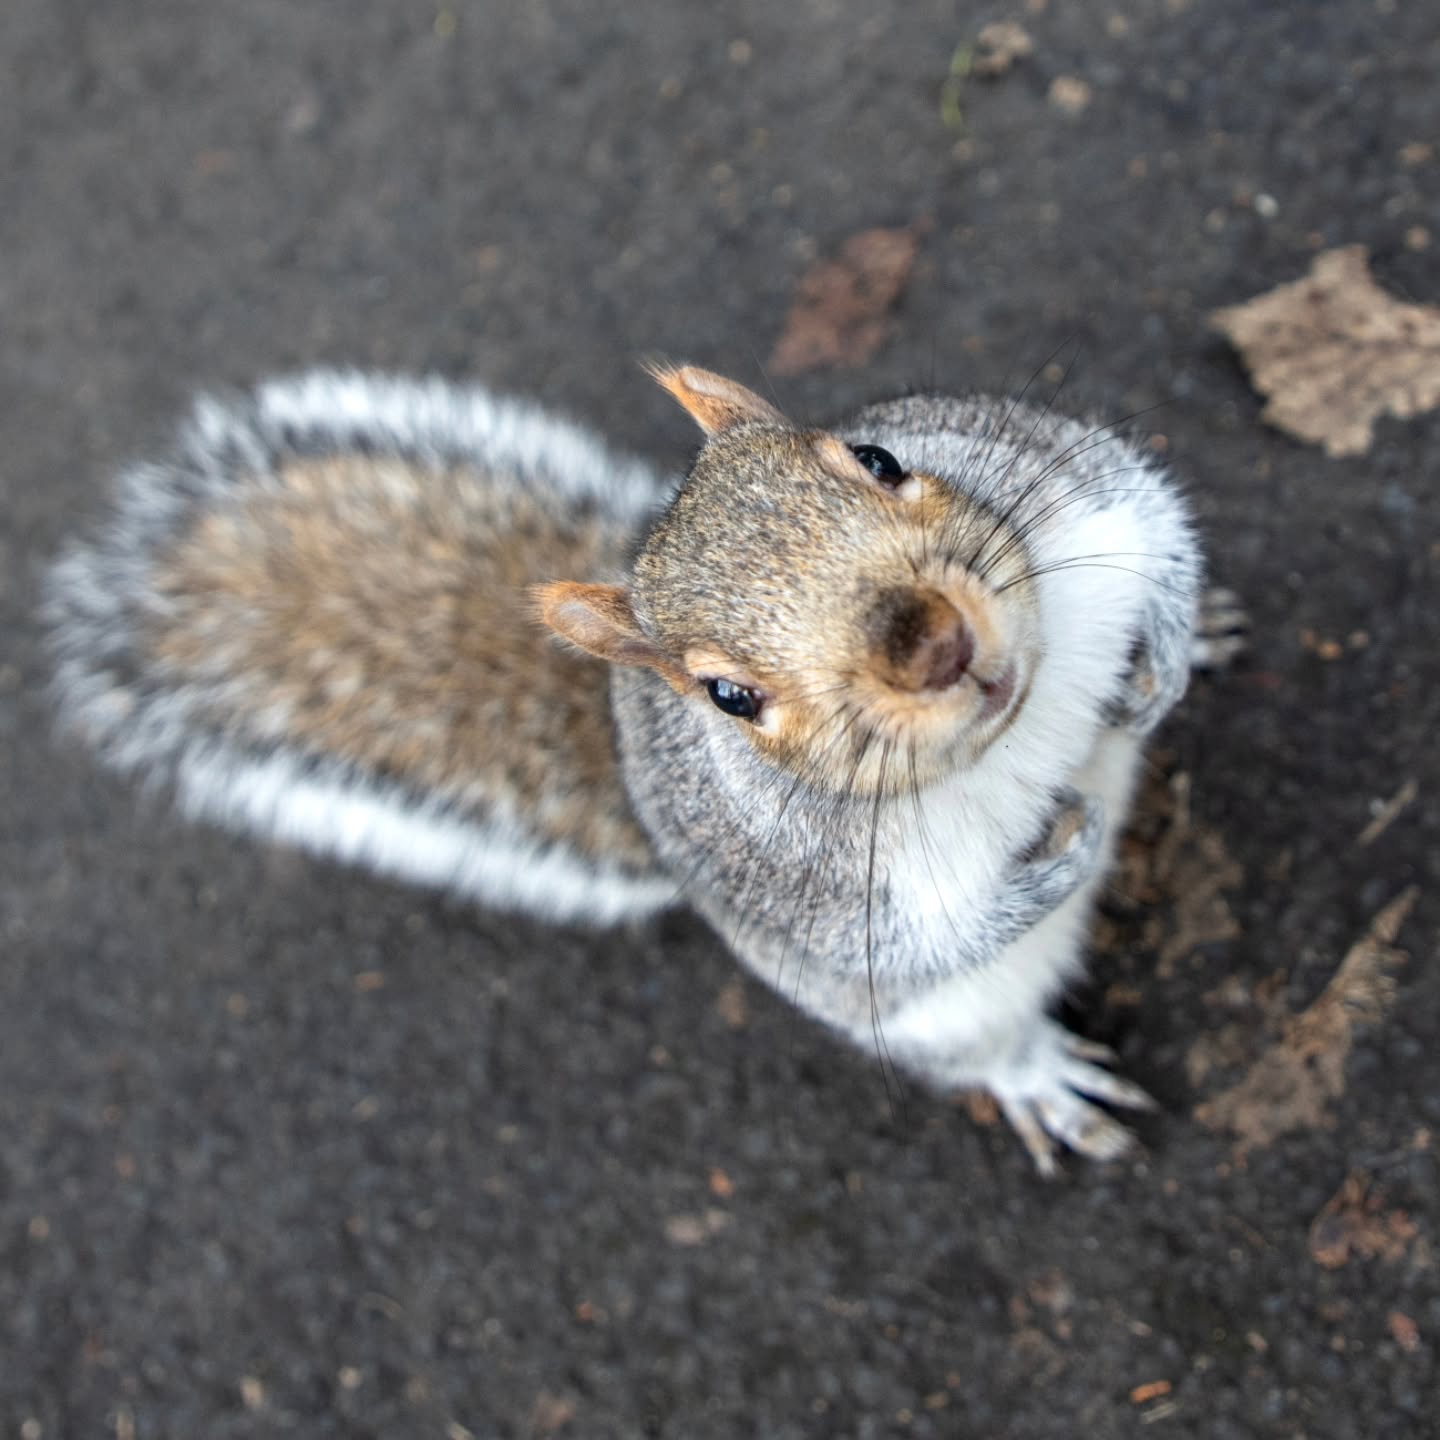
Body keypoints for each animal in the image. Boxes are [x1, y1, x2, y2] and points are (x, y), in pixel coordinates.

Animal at [45, 363, 1244, 1173]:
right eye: (726, 697)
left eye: (879, 460)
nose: (934, 644)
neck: (1027, 721)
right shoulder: (834, 900)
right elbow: (931, 938)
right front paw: (1063, 853)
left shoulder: (1089, 495)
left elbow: (1160, 531)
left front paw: (1161, 667)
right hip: (939, 1016)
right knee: (979, 1037)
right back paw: (1041, 1076)